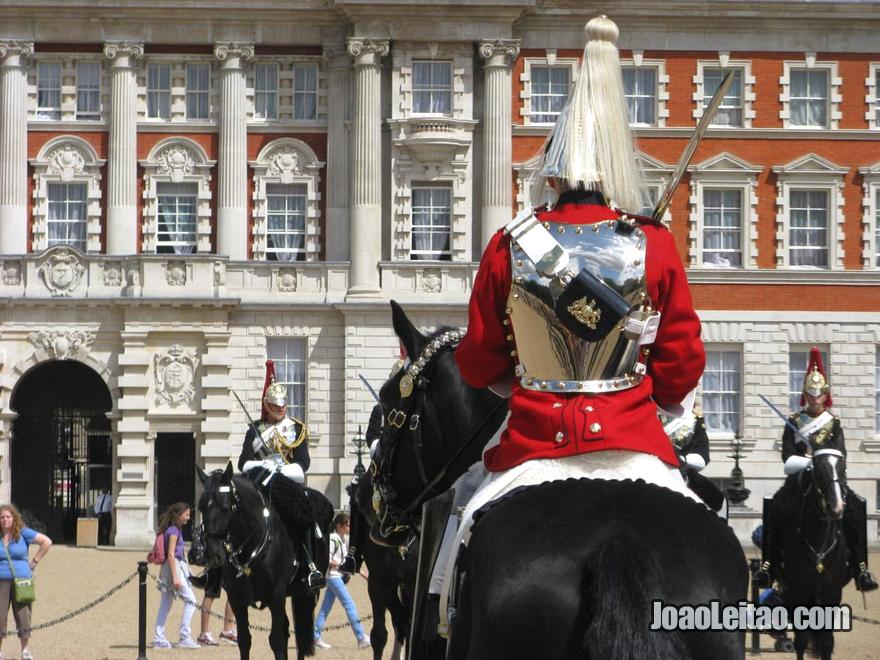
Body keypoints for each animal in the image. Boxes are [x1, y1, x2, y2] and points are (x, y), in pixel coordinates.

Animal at [199, 464, 334, 660]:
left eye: (225, 507)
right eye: (201, 507)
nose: (213, 556)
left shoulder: (276, 594)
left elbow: (276, 639)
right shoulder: (236, 597)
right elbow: (245, 640)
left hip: (304, 593)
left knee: (300, 637)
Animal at [772, 446, 848, 656]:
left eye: (843, 467)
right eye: (818, 469)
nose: (836, 507)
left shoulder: (832, 592)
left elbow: (827, 642)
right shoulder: (798, 590)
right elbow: (801, 640)